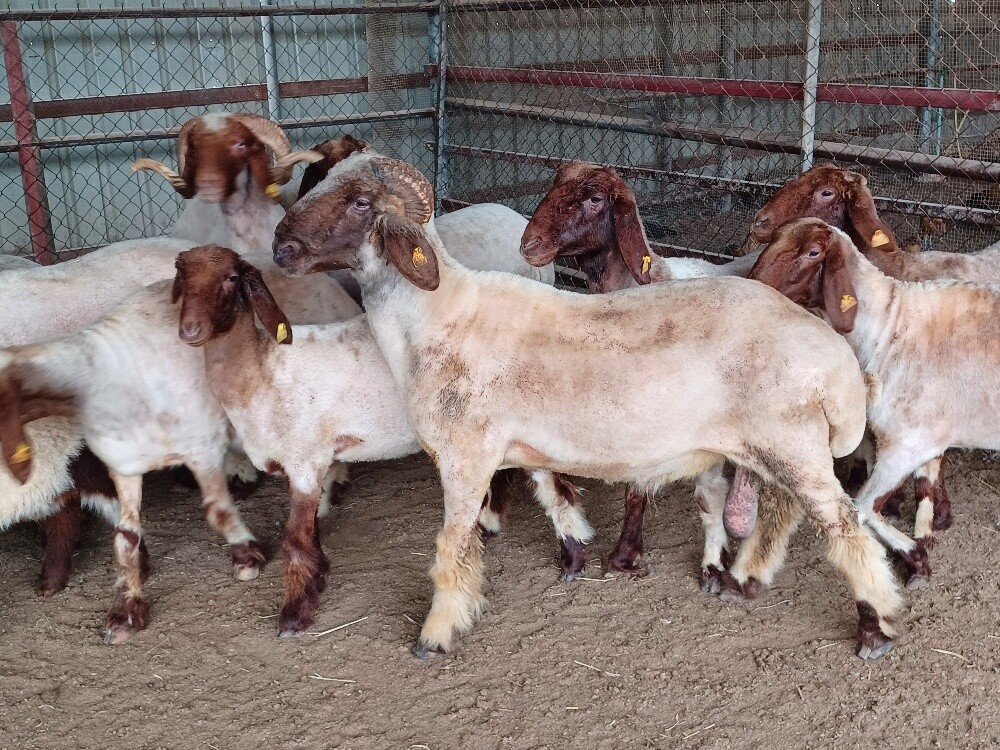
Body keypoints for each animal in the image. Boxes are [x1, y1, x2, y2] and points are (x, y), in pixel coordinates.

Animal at [0, 255, 360, 643]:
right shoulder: (123, 465)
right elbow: (124, 538)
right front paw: (126, 611)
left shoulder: (202, 447)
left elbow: (218, 510)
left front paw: (247, 556)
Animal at [170, 246, 591, 635]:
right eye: (181, 276)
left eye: (230, 278)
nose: (189, 331)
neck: (260, 371)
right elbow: (310, 535)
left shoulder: (305, 461)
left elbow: (296, 543)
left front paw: (294, 614)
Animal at [747, 217, 1000, 589]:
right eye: (773, 240)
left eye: (813, 252)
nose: (751, 288)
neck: (886, 328)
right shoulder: (921, 441)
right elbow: (920, 489)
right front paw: (922, 545)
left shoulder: (907, 445)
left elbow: (862, 507)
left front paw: (917, 559)